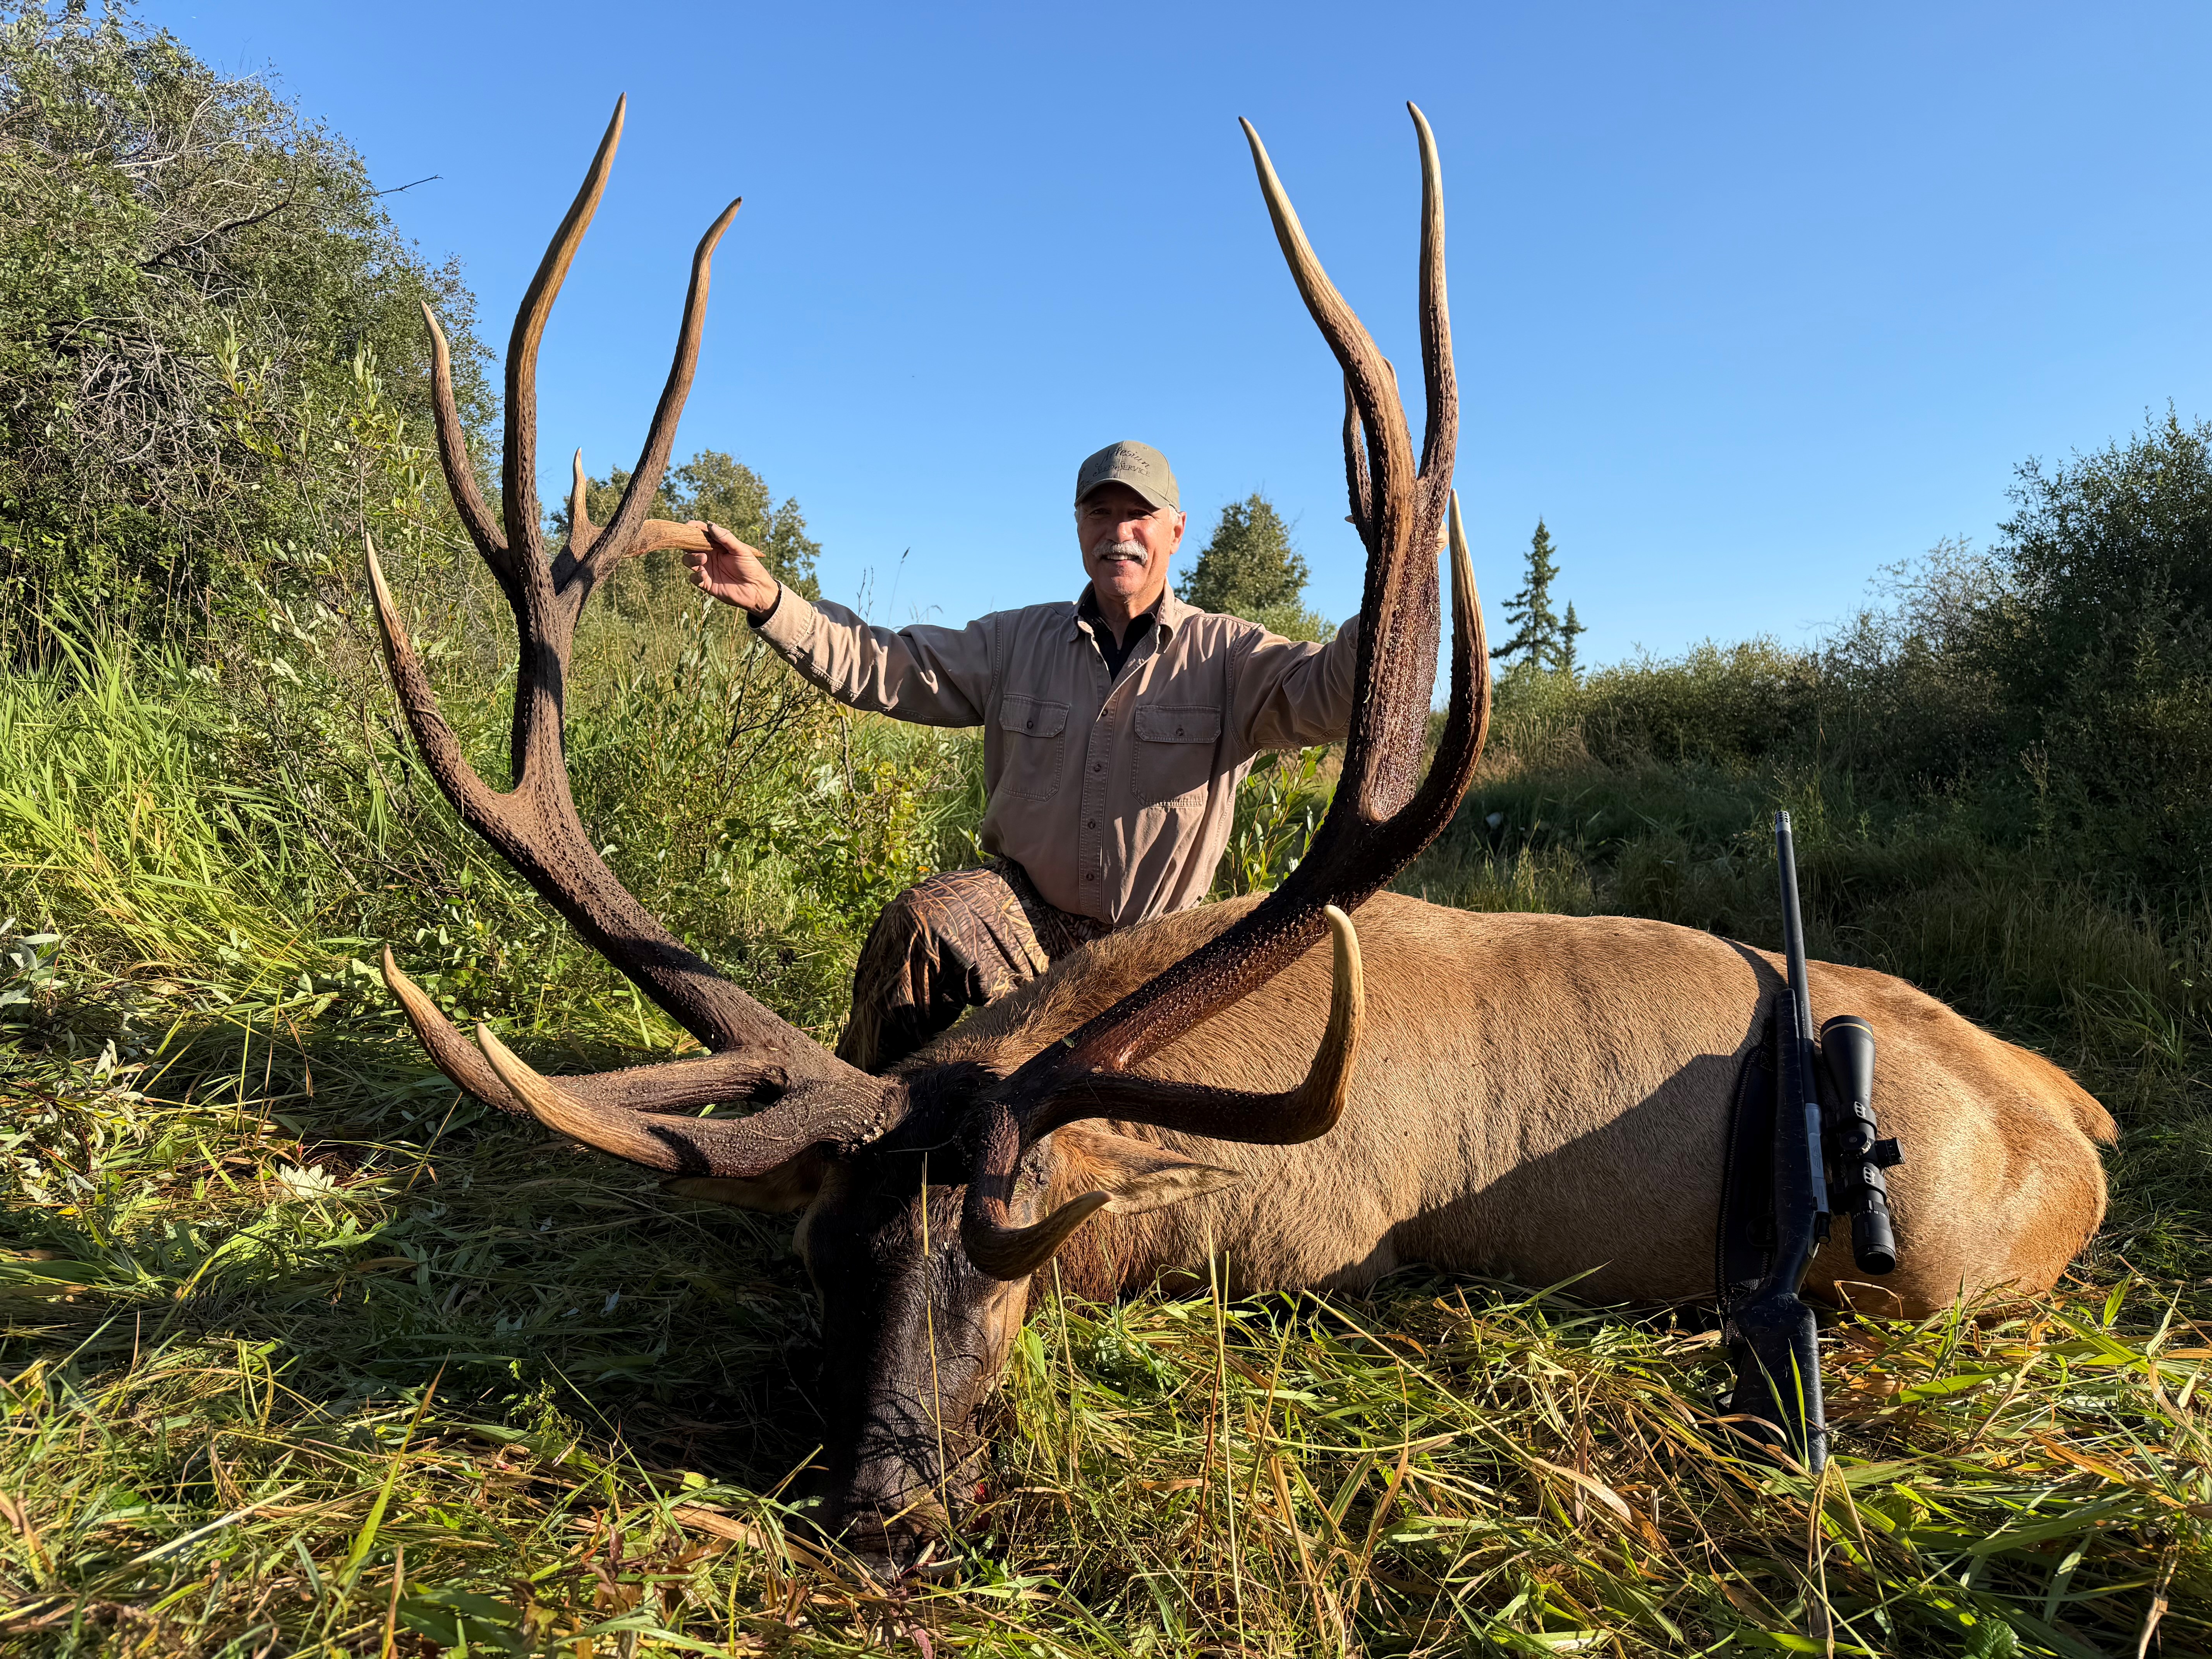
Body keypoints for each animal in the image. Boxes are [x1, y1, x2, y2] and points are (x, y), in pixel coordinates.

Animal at [365, 98, 2116, 1576]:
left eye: (1008, 1259)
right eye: (823, 1256)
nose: (892, 1507)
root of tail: (2088, 1122)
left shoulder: (1323, 1241)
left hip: (1942, 1256)